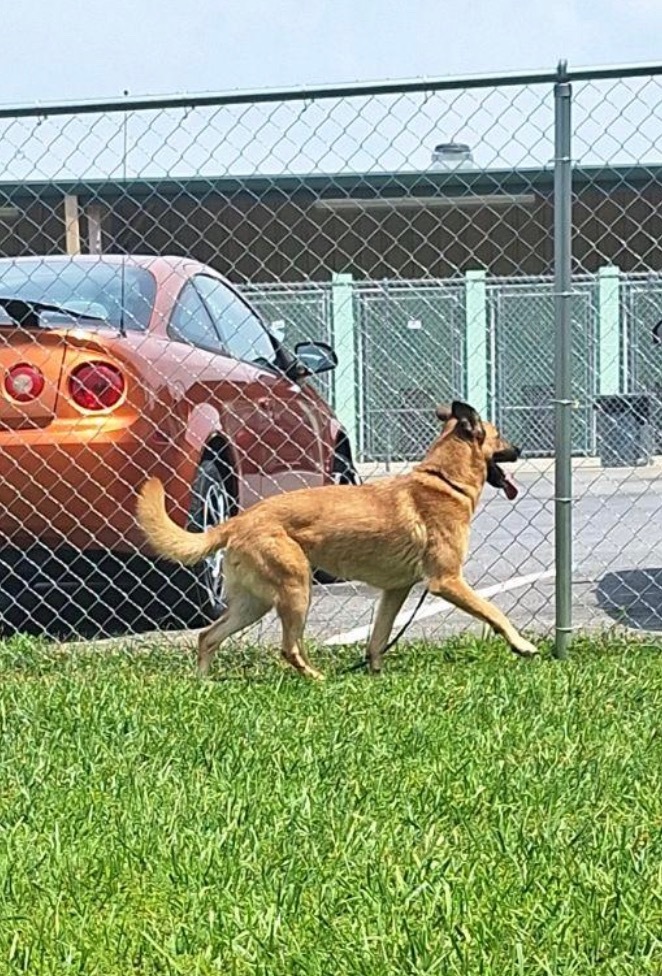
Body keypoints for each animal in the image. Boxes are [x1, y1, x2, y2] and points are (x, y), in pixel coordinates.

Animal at [139, 400, 540, 676]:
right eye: (499, 436)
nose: (521, 448)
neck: (443, 479)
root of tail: (237, 522)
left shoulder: (396, 590)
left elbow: (378, 637)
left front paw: (375, 673)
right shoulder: (447, 581)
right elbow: (495, 612)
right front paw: (523, 646)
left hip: (254, 603)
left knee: (208, 636)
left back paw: (204, 683)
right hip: (296, 590)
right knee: (288, 648)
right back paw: (318, 679)